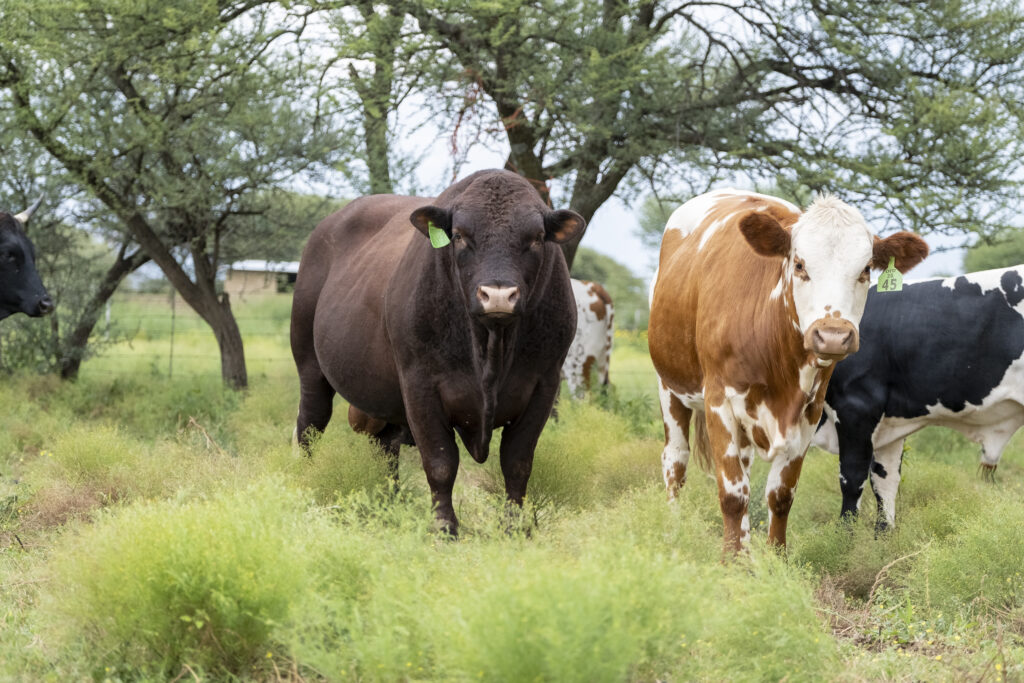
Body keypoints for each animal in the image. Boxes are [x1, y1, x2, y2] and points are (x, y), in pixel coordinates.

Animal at [290, 170, 584, 536]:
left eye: (537, 237)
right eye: (459, 236)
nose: (498, 295)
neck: (490, 347)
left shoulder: (544, 384)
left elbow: (517, 462)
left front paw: (515, 528)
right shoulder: (420, 383)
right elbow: (441, 461)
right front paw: (444, 526)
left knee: (385, 449)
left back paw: (390, 506)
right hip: (309, 365)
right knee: (310, 426)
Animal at [648, 188, 928, 554]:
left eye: (866, 269)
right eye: (799, 264)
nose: (833, 335)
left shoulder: (808, 411)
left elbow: (780, 495)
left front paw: (773, 559)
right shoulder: (718, 402)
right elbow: (733, 494)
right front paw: (729, 560)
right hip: (670, 386)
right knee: (676, 463)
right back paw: (675, 533)